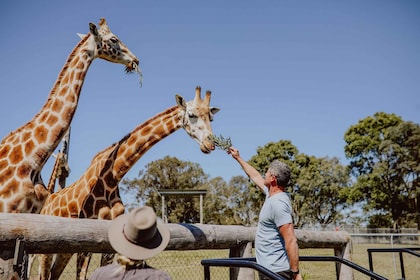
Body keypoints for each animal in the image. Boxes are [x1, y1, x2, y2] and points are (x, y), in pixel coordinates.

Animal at [37, 86, 220, 278]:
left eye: (211, 117)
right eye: (191, 114)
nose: (210, 144)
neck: (112, 178)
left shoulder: (109, 241)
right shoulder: (87, 239)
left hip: (65, 249)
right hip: (47, 249)